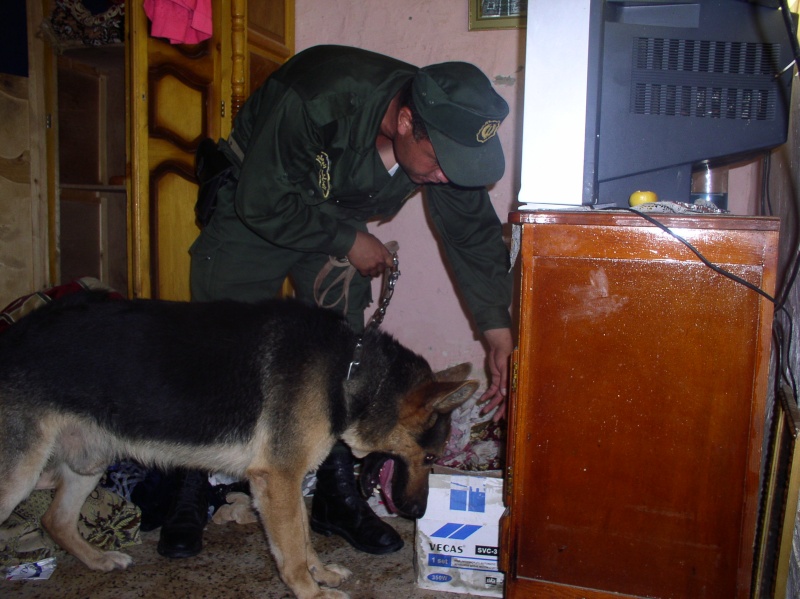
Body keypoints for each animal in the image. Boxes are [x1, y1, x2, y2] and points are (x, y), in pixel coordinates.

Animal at [0, 292, 476, 596]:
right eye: (430, 456)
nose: (418, 512)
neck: (347, 371)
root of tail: (13, 334)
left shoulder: (288, 483)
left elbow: (305, 538)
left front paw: (321, 575)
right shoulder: (278, 481)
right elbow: (292, 551)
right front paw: (311, 591)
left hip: (89, 461)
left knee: (56, 521)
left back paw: (97, 560)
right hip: (18, 476)